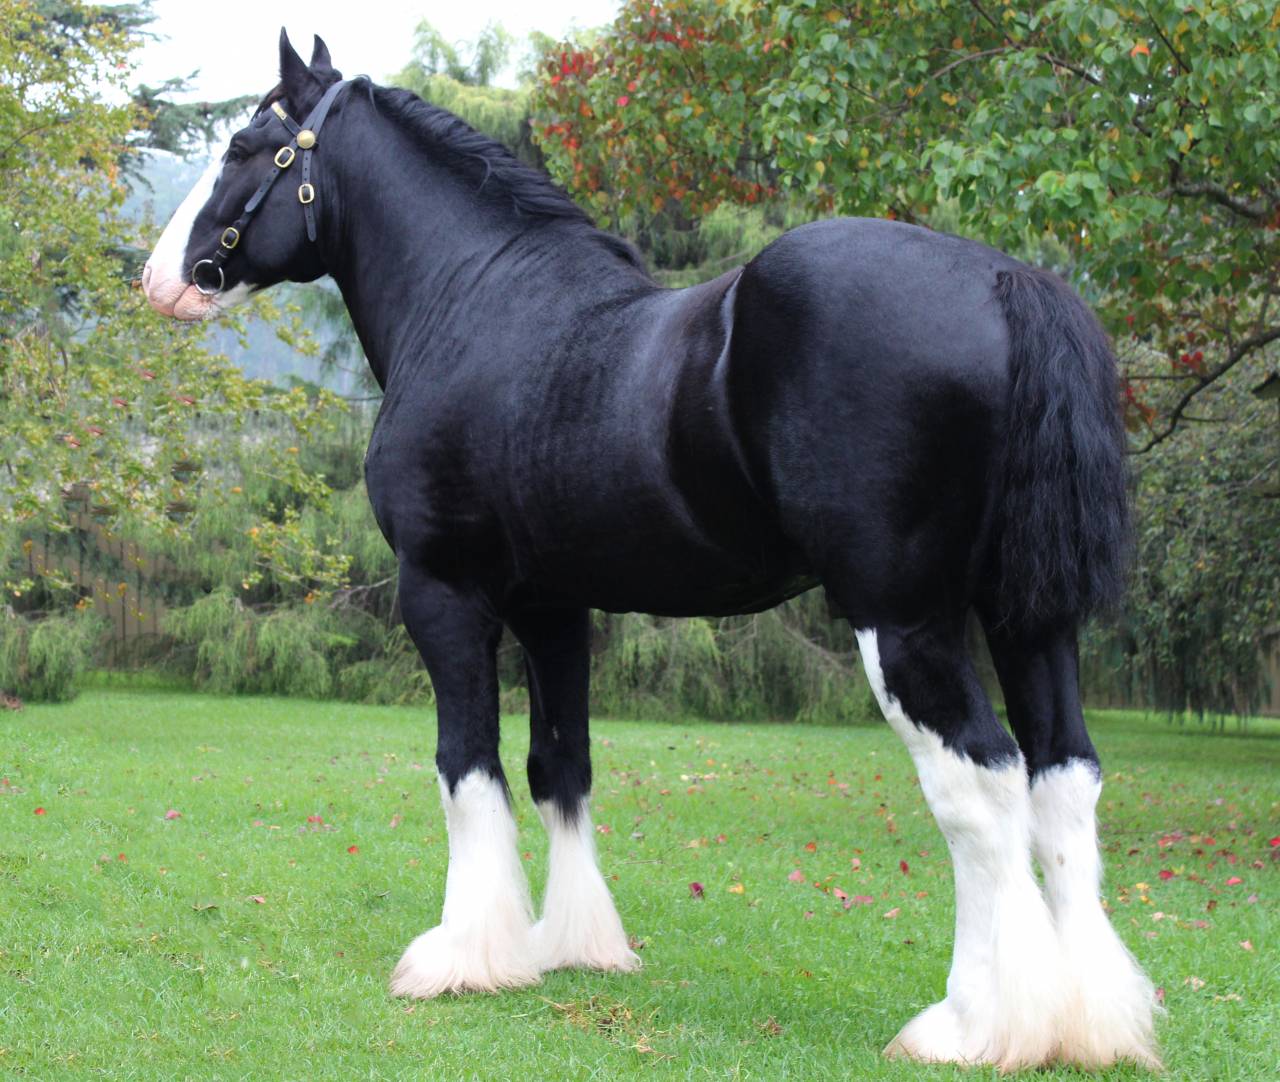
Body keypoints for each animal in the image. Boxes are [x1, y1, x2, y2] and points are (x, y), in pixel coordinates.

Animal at [147, 29, 1162, 1070]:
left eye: (244, 146)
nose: (162, 277)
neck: (472, 302)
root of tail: (1002, 280)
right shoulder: (553, 609)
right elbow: (561, 767)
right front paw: (573, 947)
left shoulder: (443, 593)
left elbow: (468, 765)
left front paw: (464, 958)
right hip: (1029, 615)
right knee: (1064, 777)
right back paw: (1089, 1022)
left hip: (905, 621)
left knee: (980, 784)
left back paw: (978, 1025)